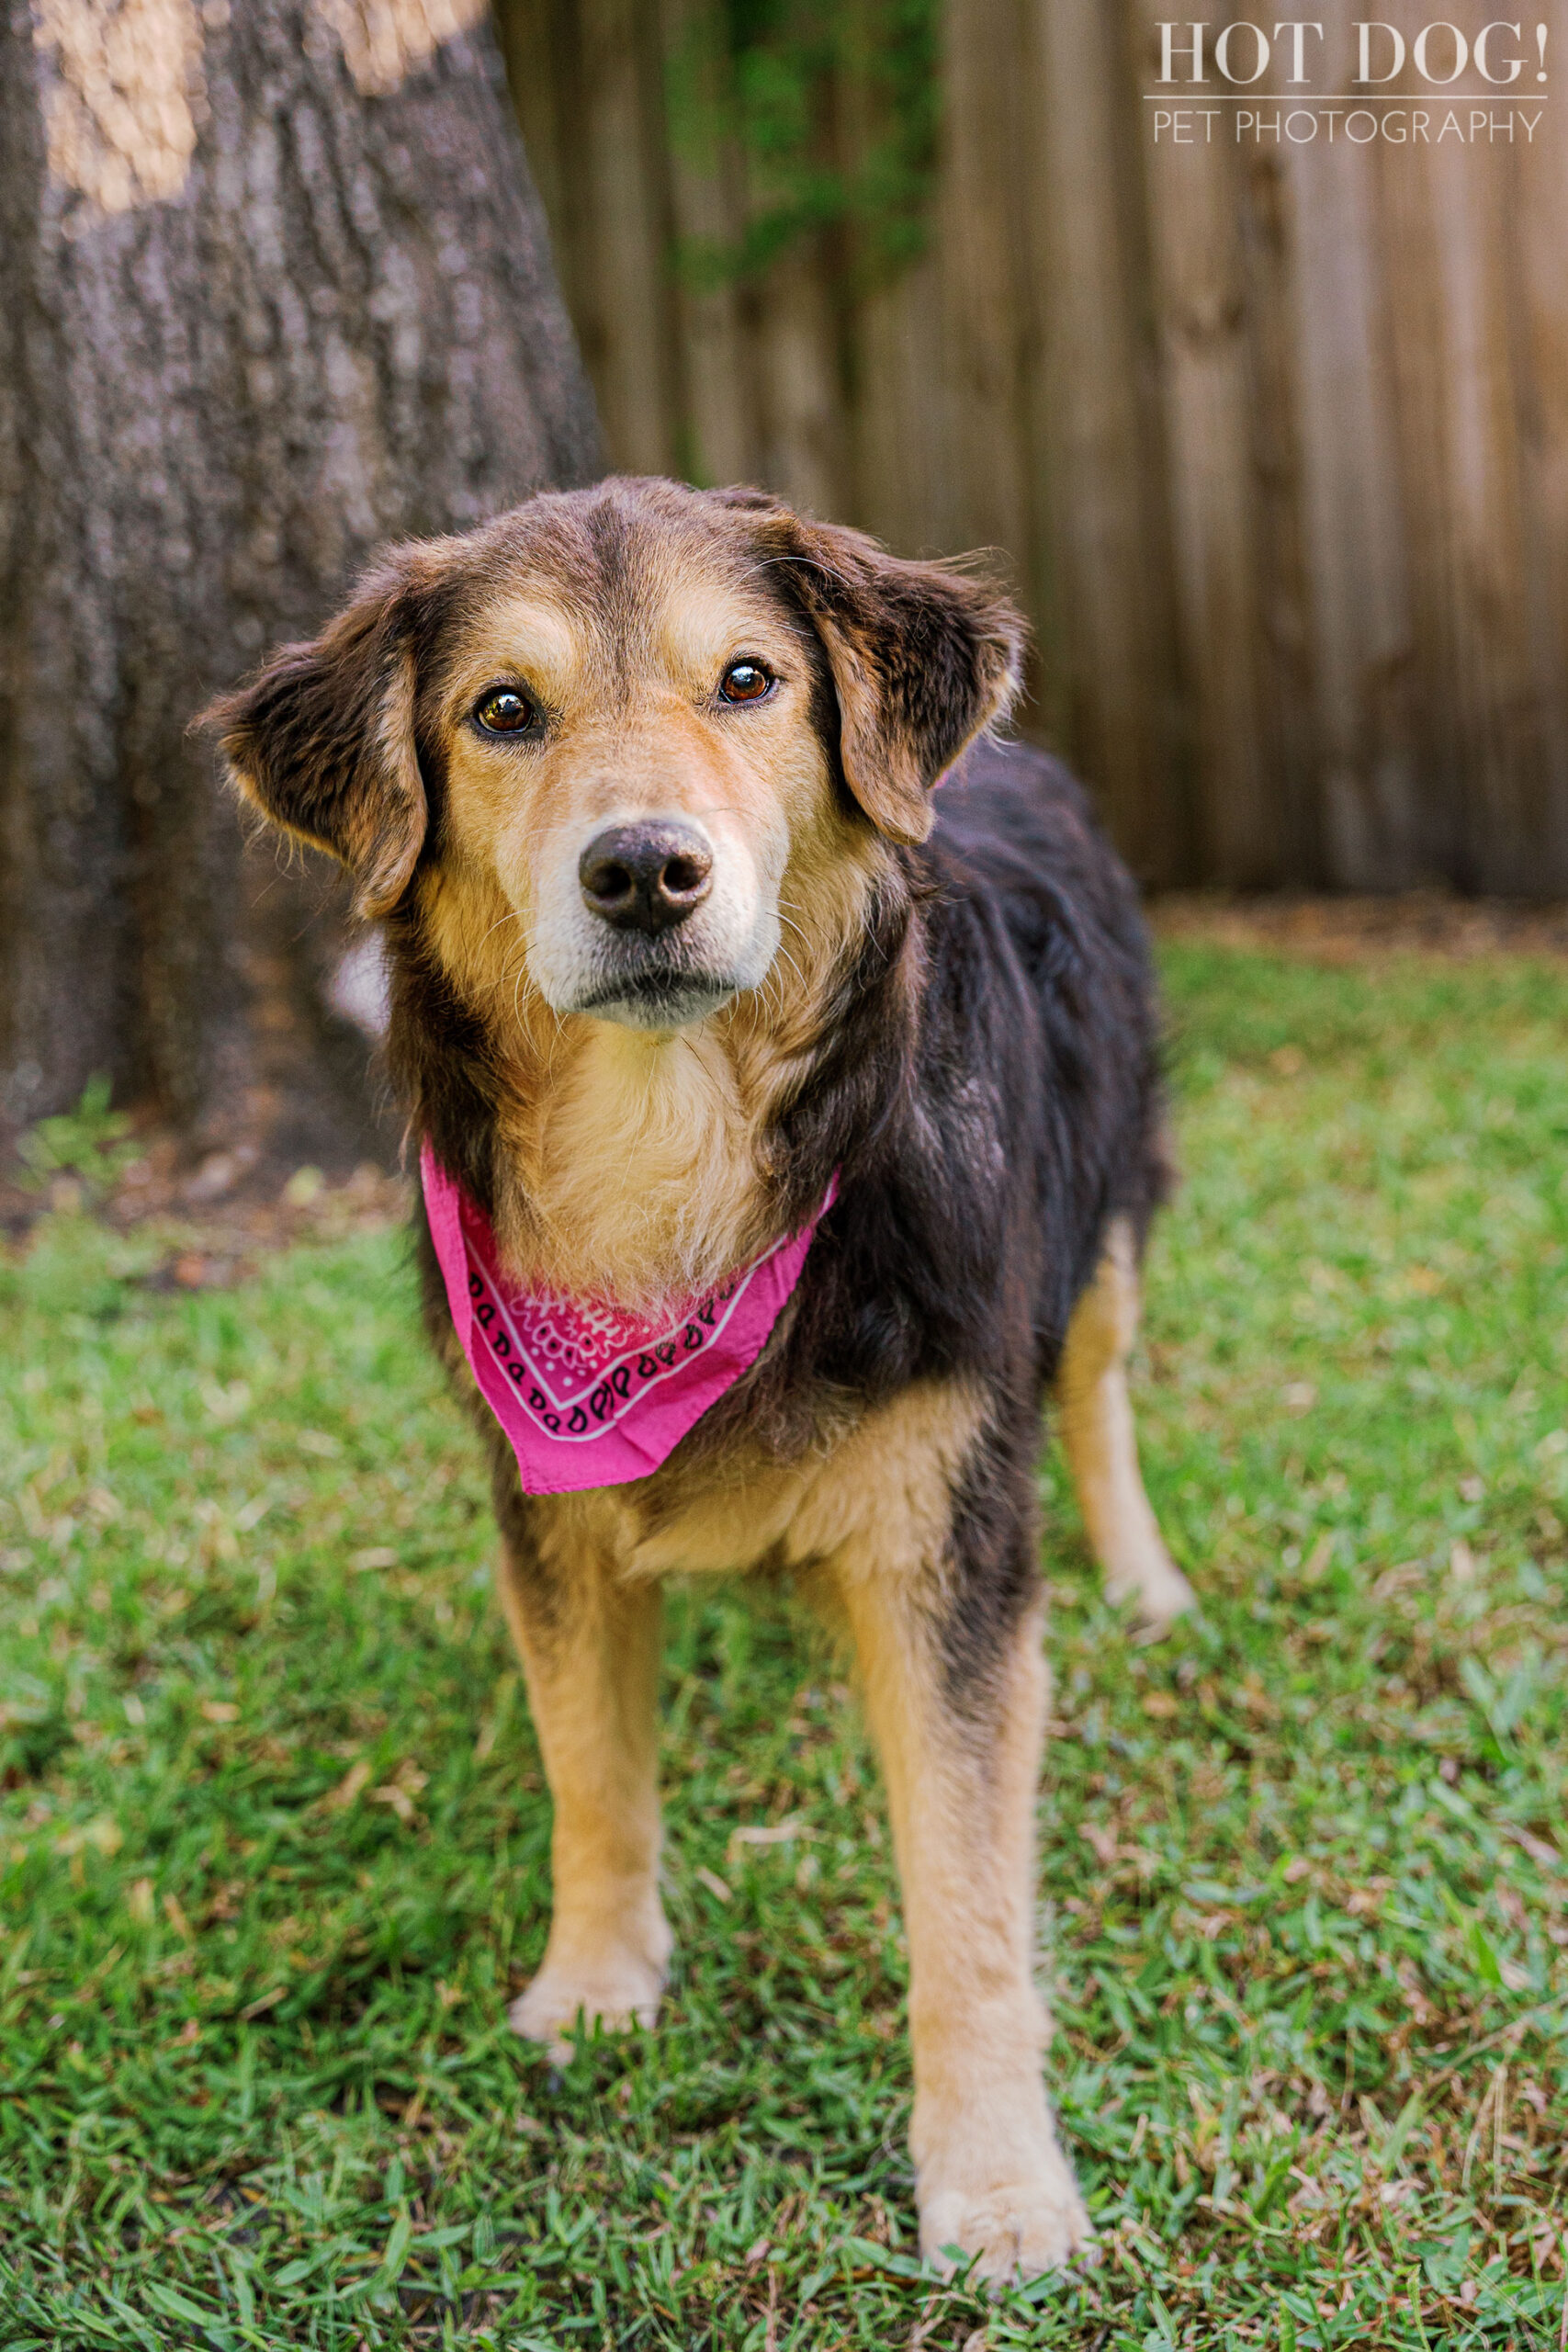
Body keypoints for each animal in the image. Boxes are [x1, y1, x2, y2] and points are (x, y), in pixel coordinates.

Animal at [205, 477, 1189, 2277]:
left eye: (747, 681)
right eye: (500, 711)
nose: (644, 870)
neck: (671, 1178)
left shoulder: (945, 1540)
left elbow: (965, 1898)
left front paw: (995, 2179)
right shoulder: (545, 1514)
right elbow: (592, 1774)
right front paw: (597, 1984)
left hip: (1099, 1228)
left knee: (1095, 1383)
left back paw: (1143, 1578)